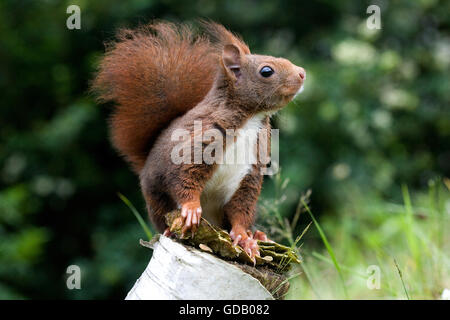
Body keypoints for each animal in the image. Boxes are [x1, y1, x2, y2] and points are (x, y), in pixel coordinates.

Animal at [94, 21, 306, 260]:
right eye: (266, 71)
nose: (302, 73)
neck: (250, 119)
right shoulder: (198, 142)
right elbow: (184, 176)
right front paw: (191, 209)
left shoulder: (251, 169)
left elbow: (241, 209)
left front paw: (244, 238)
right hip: (156, 198)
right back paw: (169, 229)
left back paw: (258, 235)